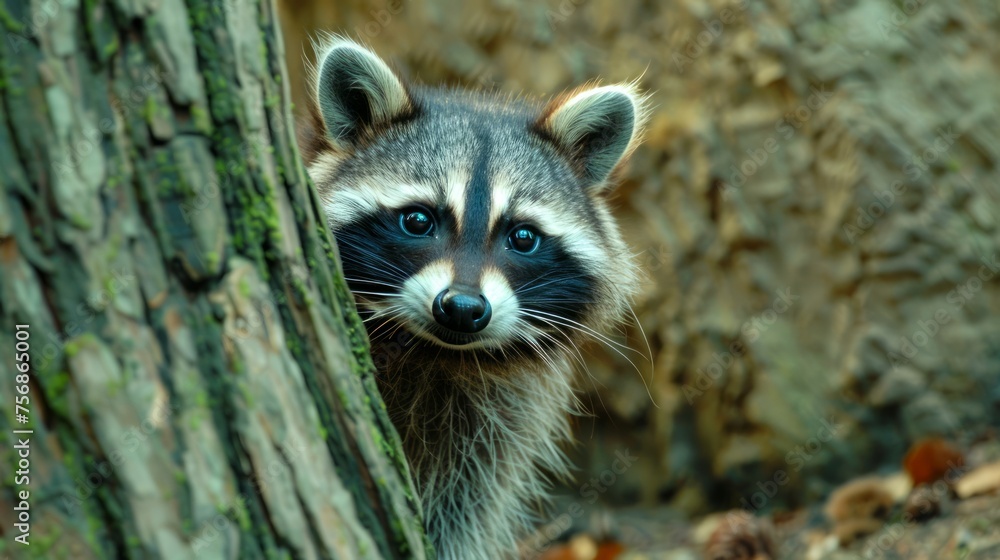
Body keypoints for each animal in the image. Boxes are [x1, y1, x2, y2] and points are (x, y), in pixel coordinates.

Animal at [296, 37, 644, 556]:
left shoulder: (499, 414)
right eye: (418, 220)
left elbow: (464, 505)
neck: (432, 353)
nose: (462, 308)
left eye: (523, 237)